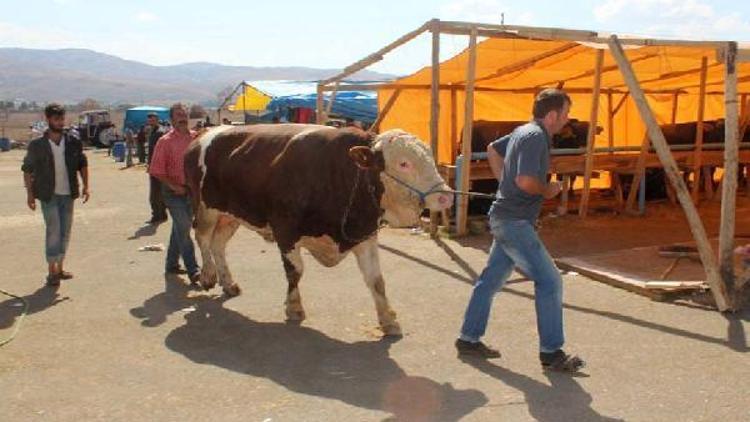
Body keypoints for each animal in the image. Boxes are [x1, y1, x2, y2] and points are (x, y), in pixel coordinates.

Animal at [185, 123, 452, 334]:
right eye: (404, 163)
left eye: (430, 158)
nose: (445, 196)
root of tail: (203, 135)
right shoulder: (286, 231)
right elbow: (295, 271)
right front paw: (294, 307)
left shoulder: (364, 235)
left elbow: (376, 280)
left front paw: (388, 320)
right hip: (205, 207)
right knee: (202, 237)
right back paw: (207, 275)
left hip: (231, 214)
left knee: (218, 244)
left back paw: (228, 283)